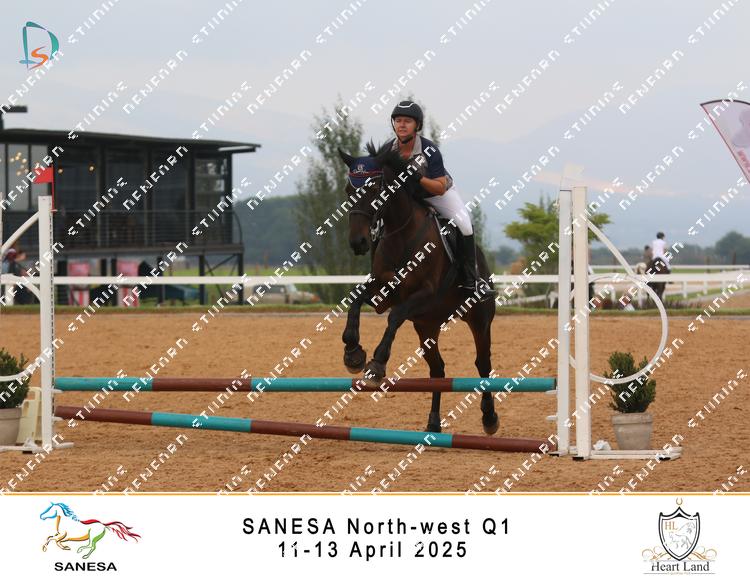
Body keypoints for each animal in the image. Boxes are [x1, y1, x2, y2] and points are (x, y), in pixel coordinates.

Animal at [337, 140, 499, 435]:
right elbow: (355, 299)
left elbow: (395, 316)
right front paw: (353, 352)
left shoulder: (425, 294)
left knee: (483, 364)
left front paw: (376, 363)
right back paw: (433, 422)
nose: (358, 243)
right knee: (438, 371)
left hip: (479, 320)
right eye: (348, 190)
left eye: (375, 188)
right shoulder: (383, 292)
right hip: (427, 326)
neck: (401, 233)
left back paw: (489, 418)